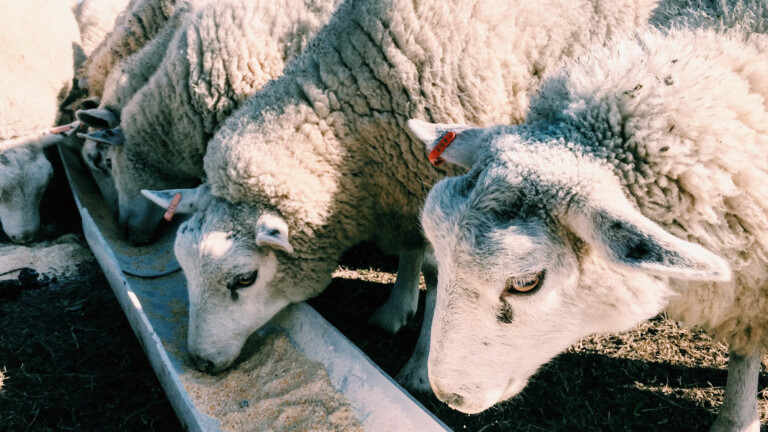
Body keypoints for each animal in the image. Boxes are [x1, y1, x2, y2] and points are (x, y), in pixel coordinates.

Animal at [139, 0, 662, 392]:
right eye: (183, 267)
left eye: (244, 279)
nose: (201, 364)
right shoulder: (400, 192)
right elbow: (412, 255)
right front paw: (396, 307)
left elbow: (440, 273)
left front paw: (420, 366)